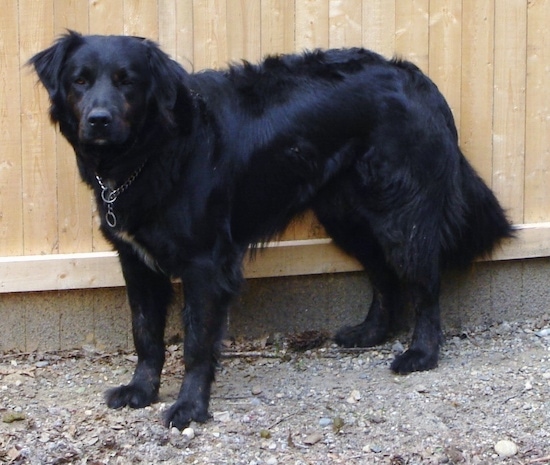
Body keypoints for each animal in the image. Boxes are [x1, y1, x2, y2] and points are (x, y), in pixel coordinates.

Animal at [29, 29, 512, 428]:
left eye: (127, 81)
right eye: (79, 81)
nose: (99, 120)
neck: (155, 148)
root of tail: (418, 78)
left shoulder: (206, 263)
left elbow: (197, 344)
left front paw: (189, 407)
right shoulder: (136, 260)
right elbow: (145, 334)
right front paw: (141, 391)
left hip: (400, 215)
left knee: (425, 283)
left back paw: (421, 354)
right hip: (347, 216)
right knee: (383, 275)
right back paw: (370, 333)